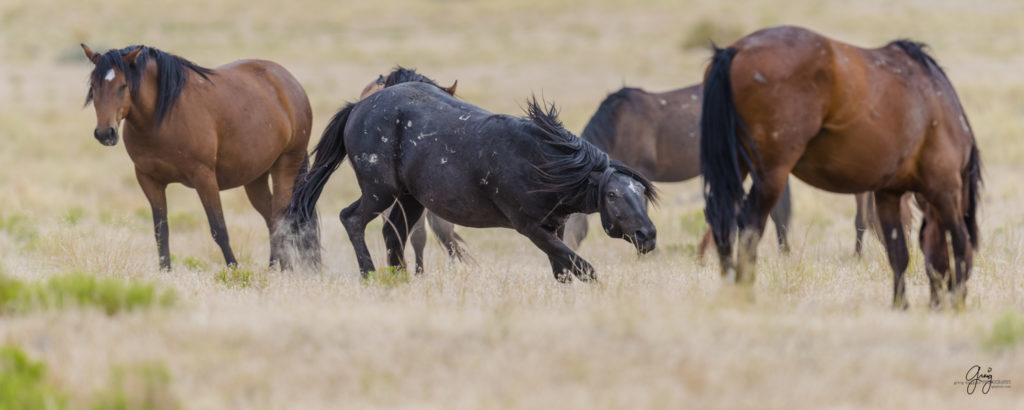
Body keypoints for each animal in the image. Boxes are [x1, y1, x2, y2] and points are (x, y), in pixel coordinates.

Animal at [80, 44, 311, 270]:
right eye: (94, 86)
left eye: (123, 85)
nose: (105, 133)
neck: (162, 116)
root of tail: (290, 82)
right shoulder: (149, 180)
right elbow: (161, 232)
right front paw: (165, 272)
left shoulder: (204, 177)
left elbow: (219, 229)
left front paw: (235, 270)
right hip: (255, 178)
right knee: (272, 219)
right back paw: (273, 269)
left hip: (285, 166)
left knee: (282, 219)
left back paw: (286, 270)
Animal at [284, 83, 659, 282]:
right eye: (612, 195)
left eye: (642, 193)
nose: (648, 236)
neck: (541, 162)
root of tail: (358, 107)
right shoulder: (531, 228)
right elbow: (585, 269)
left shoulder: (555, 227)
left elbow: (565, 271)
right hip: (379, 192)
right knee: (352, 219)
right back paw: (370, 275)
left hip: (410, 198)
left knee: (392, 234)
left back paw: (400, 280)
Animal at [700, 25, 978, 307]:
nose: (938, 305)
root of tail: (735, 51)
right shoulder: (944, 189)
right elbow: (959, 241)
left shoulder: (888, 193)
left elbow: (899, 253)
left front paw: (900, 305)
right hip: (771, 174)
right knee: (750, 222)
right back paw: (744, 290)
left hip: (737, 164)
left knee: (722, 217)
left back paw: (729, 285)